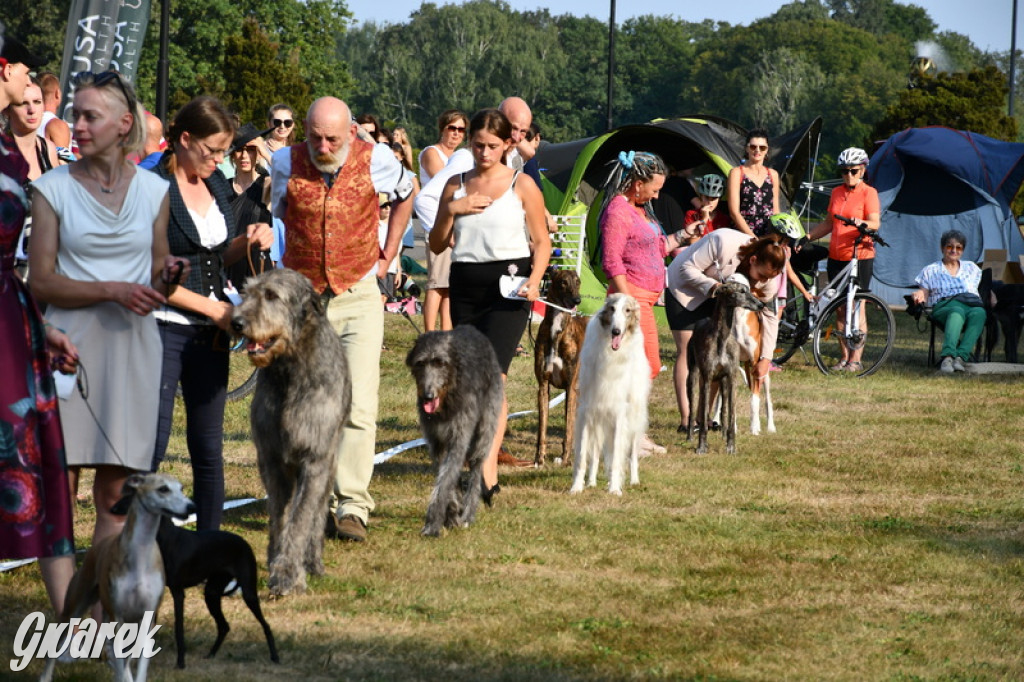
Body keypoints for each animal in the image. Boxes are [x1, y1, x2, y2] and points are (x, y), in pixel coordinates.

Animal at [230, 268, 350, 593]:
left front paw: (288, 575)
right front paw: (276, 561)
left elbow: (300, 519)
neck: (290, 370)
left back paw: (313, 561)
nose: (236, 322)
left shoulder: (315, 458)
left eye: (272, 295)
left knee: (317, 512)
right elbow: (279, 515)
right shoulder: (270, 458)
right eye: (246, 293)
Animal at [407, 325, 503, 536]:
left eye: (440, 363)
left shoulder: (459, 436)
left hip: (486, 424)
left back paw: (468, 513)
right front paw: (450, 514)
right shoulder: (437, 441)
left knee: (476, 466)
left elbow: (445, 479)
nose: (427, 396)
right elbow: (446, 477)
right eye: (420, 363)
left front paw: (433, 523)